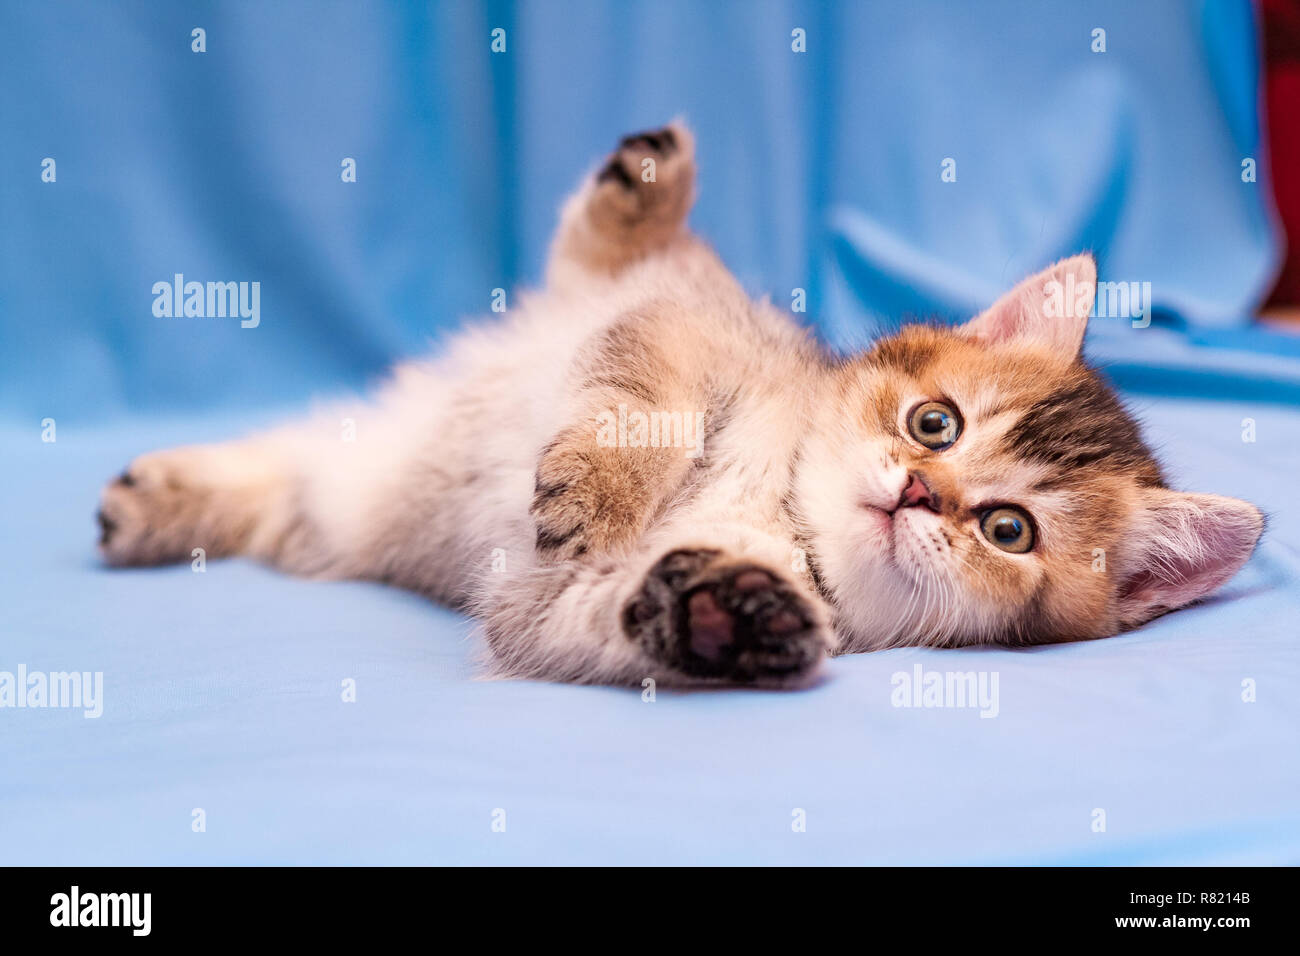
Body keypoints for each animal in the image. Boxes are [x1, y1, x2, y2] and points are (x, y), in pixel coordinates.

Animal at [96, 123, 1263, 686]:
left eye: (1008, 530)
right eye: (935, 422)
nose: (919, 491)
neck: (779, 507)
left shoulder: (534, 609)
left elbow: (596, 617)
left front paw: (723, 615)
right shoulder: (680, 330)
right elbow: (641, 407)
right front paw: (602, 492)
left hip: (342, 502)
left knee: (286, 476)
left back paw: (155, 502)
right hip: (624, 286)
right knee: (604, 249)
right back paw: (644, 179)